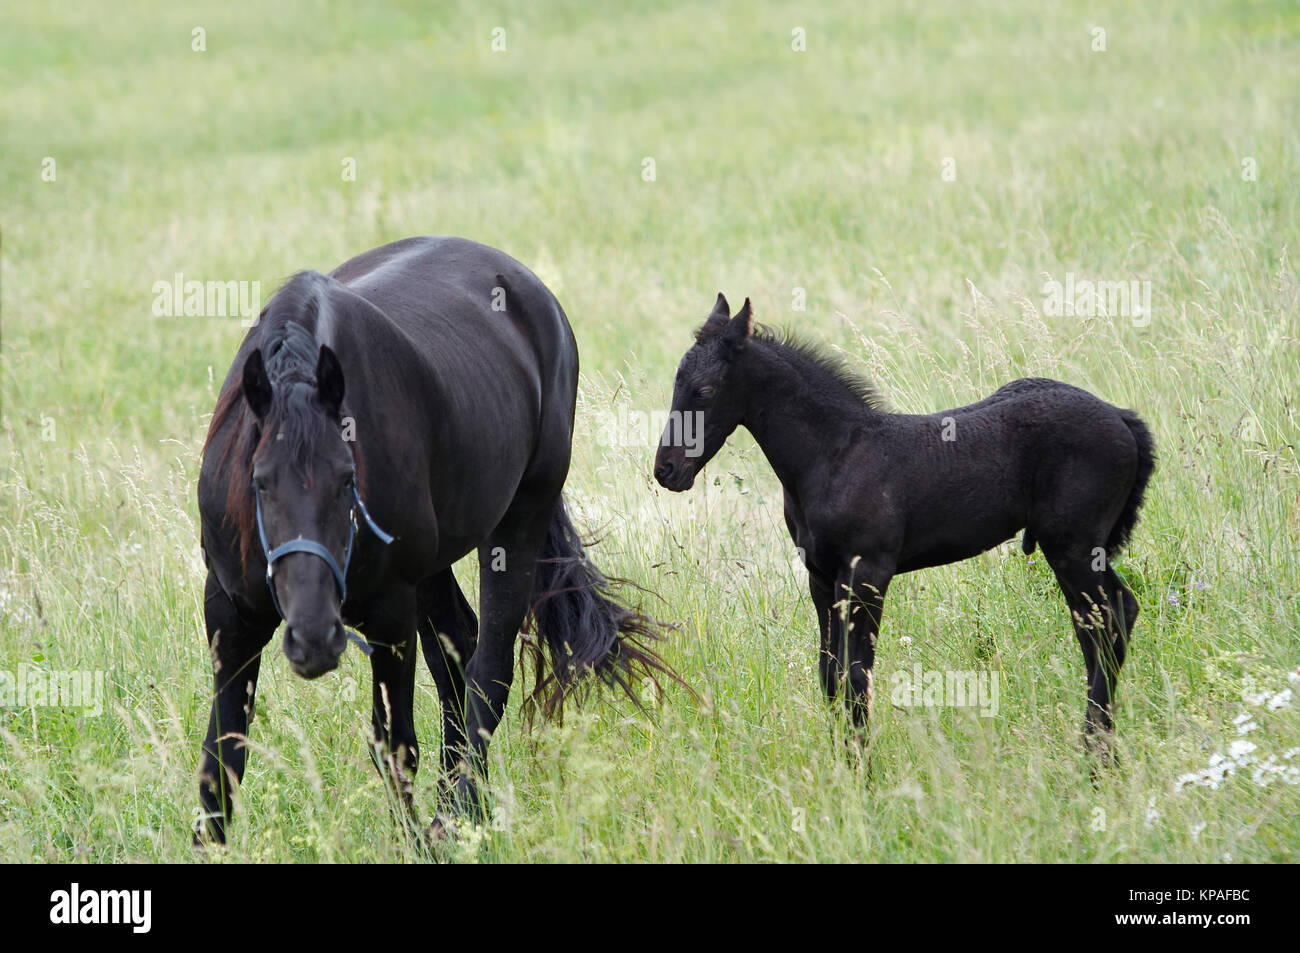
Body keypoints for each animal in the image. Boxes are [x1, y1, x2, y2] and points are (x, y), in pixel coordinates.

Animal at [202, 236, 670, 842]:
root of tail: (531, 290)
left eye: (348, 478)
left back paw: (462, 810)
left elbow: (395, 746)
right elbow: (221, 762)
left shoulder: (390, 618)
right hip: (433, 567)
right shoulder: (229, 617)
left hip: (517, 522)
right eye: (260, 481)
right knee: (458, 654)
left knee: (487, 667)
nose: (314, 638)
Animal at [655, 293, 1154, 754]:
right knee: (1110, 619)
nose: (666, 470)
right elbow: (830, 674)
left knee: (1105, 623)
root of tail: (1122, 417)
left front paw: (862, 770)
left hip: (1072, 547)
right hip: (1078, 549)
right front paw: (842, 765)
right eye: (676, 381)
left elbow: (857, 677)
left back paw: (1094, 754)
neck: (836, 454)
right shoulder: (820, 578)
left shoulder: (868, 574)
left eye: (705, 391)